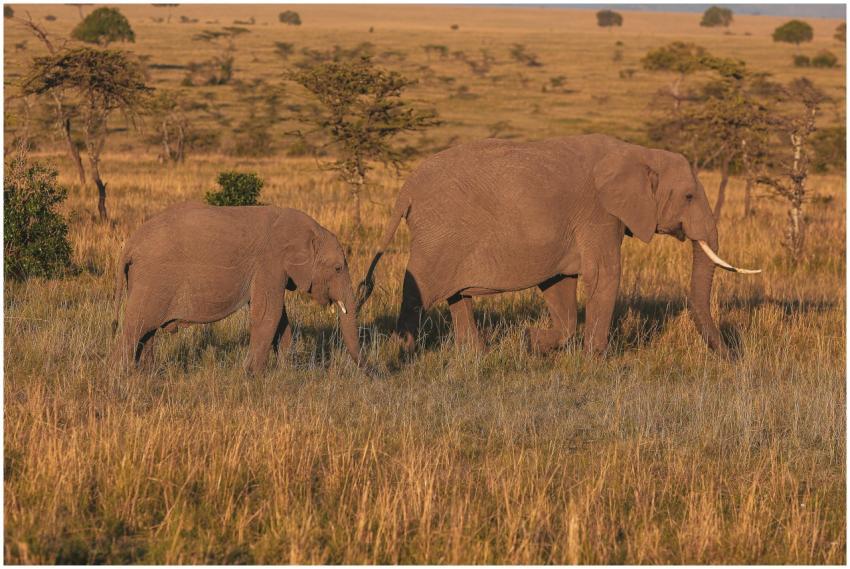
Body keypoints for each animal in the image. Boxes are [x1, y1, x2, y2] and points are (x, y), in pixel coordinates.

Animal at [111, 201, 363, 374]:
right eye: (338, 268)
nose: (370, 372)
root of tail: (130, 245)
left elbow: (280, 319)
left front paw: (286, 372)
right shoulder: (270, 263)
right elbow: (268, 315)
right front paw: (252, 374)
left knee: (147, 331)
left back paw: (148, 373)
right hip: (152, 279)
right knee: (136, 327)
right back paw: (124, 375)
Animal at [357, 134, 759, 356]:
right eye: (689, 196)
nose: (731, 357)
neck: (639, 153)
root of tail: (406, 189)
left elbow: (560, 285)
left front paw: (530, 343)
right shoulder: (599, 214)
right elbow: (604, 276)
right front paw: (594, 361)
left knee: (459, 297)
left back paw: (476, 356)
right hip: (438, 233)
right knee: (420, 291)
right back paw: (404, 352)